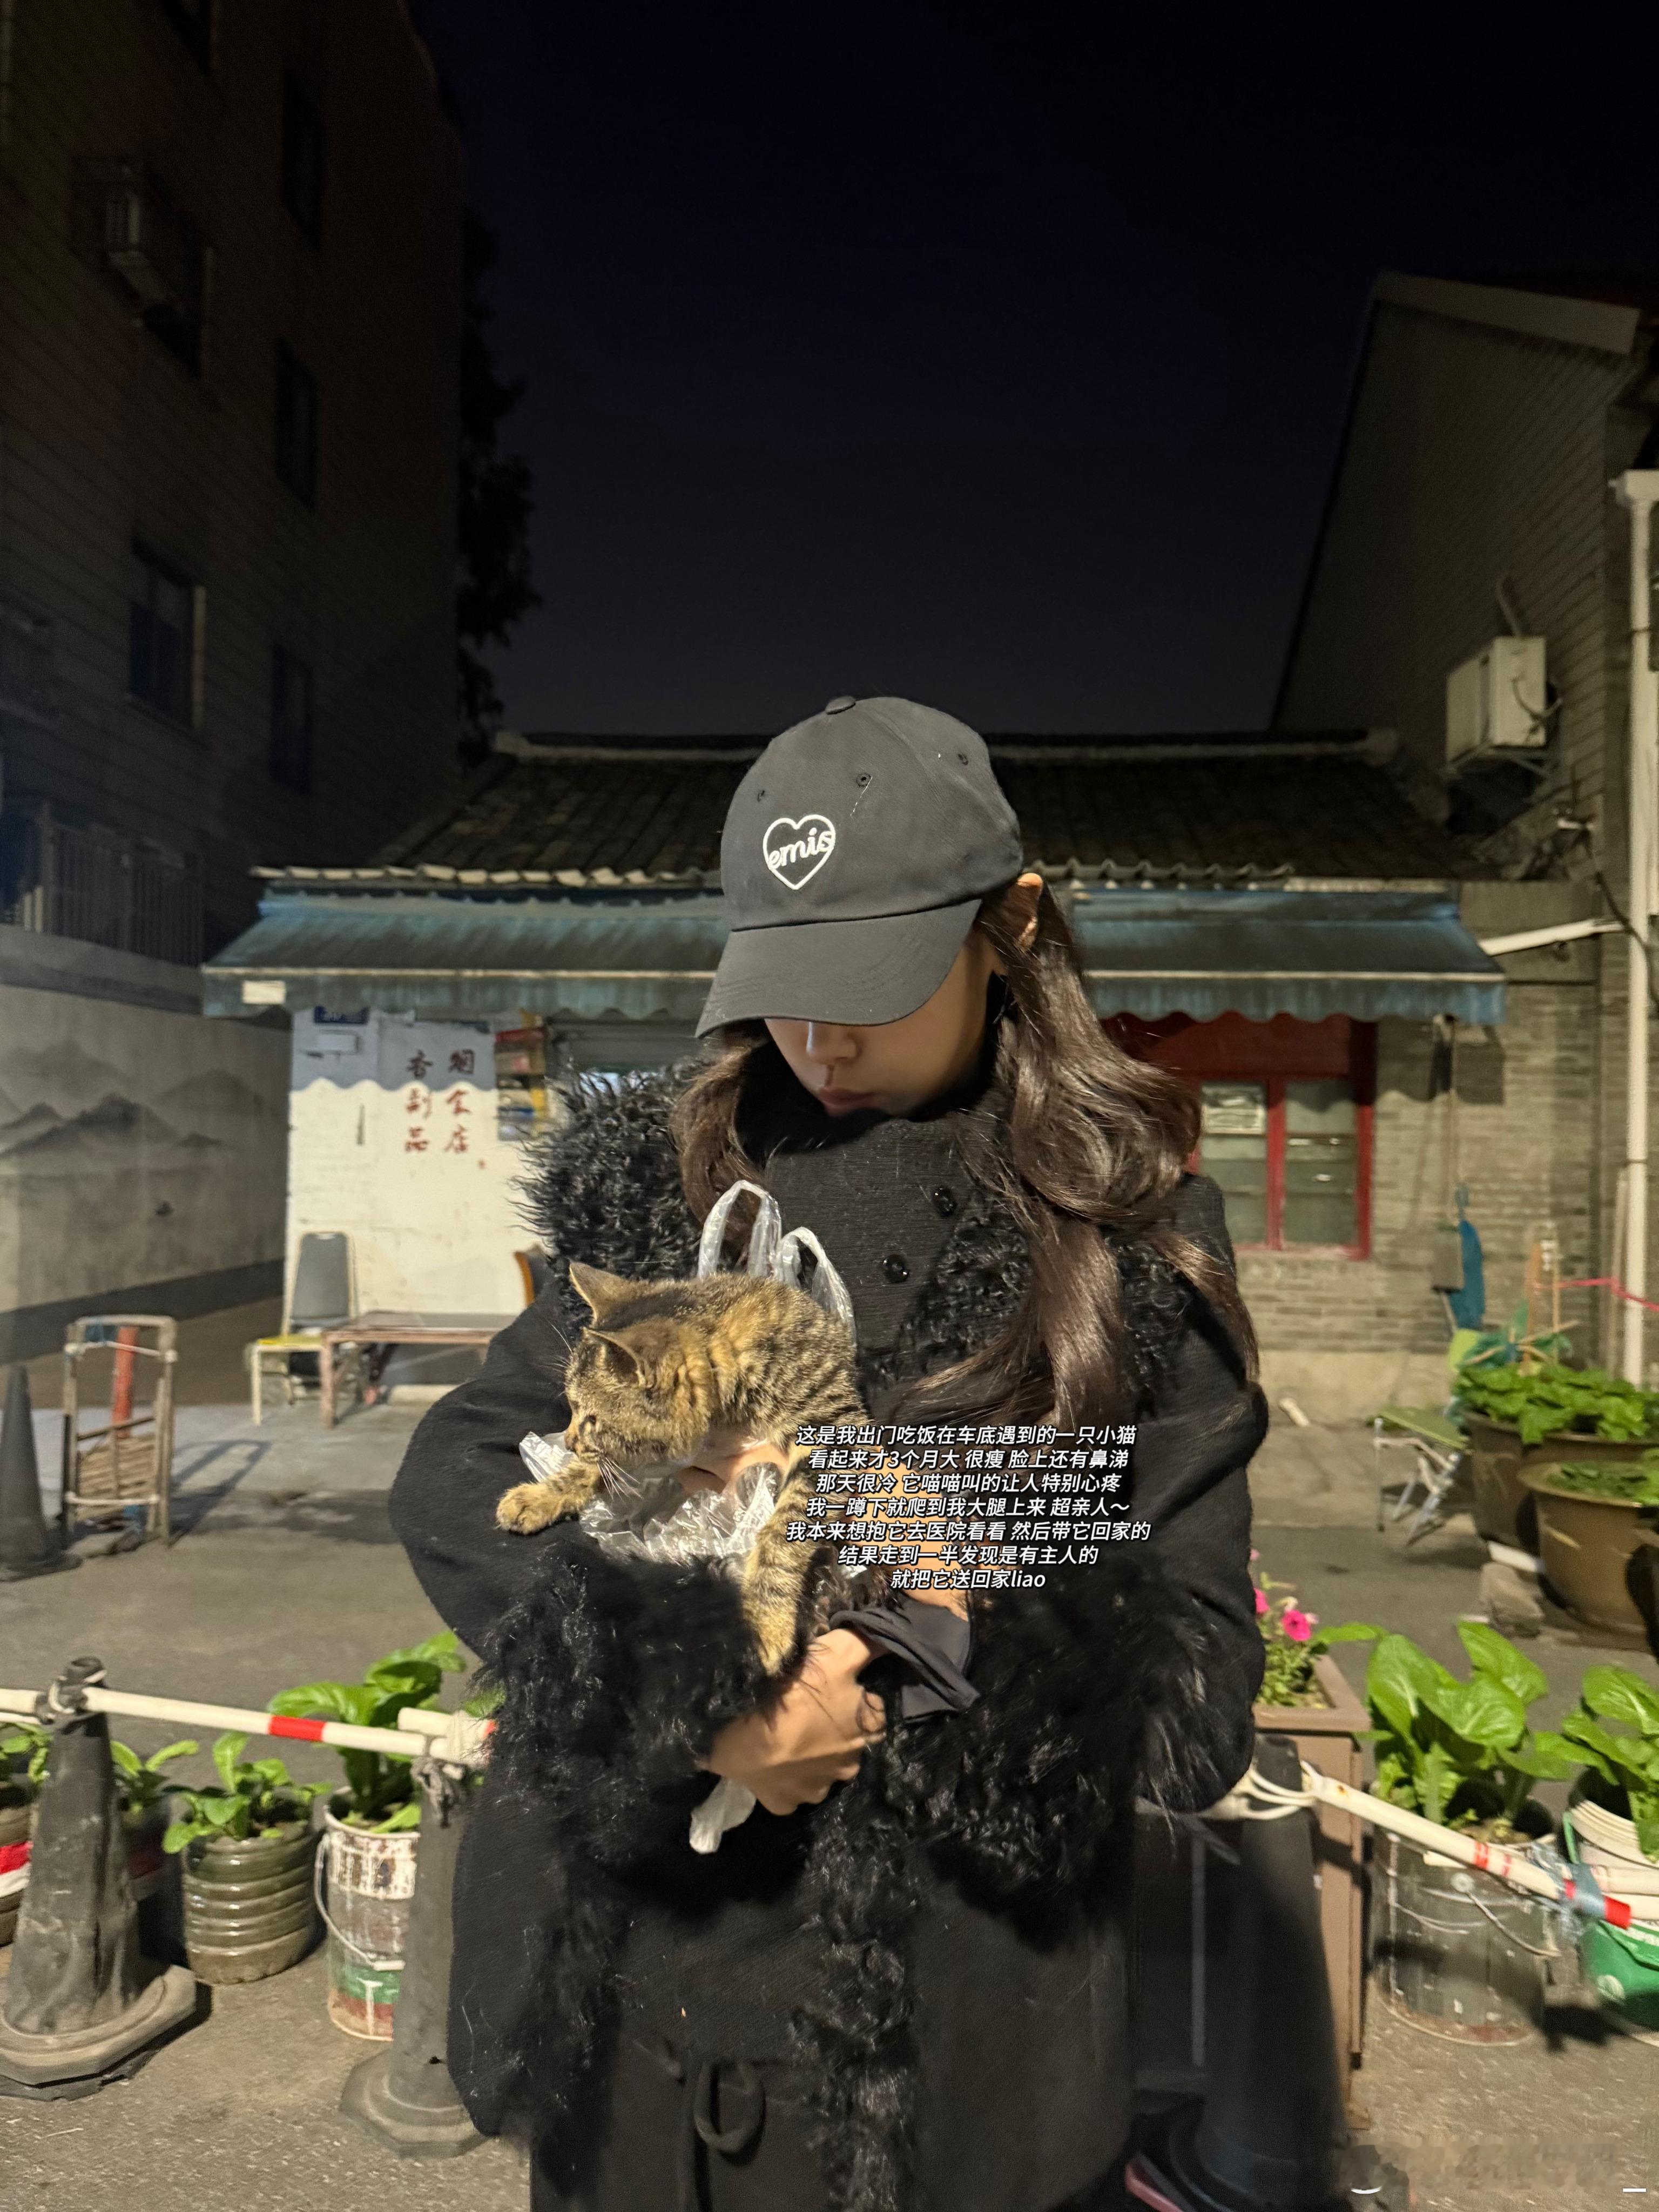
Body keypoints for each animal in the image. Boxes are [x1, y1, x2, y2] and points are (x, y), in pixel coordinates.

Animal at [495, 1259, 872, 1674]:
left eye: (592, 1418)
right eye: (574, 1410)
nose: (569, 1442)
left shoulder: (836, 1434)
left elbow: (782, 1531)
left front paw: (764, 1619)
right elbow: (597, 1465)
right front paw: (540, 1497)